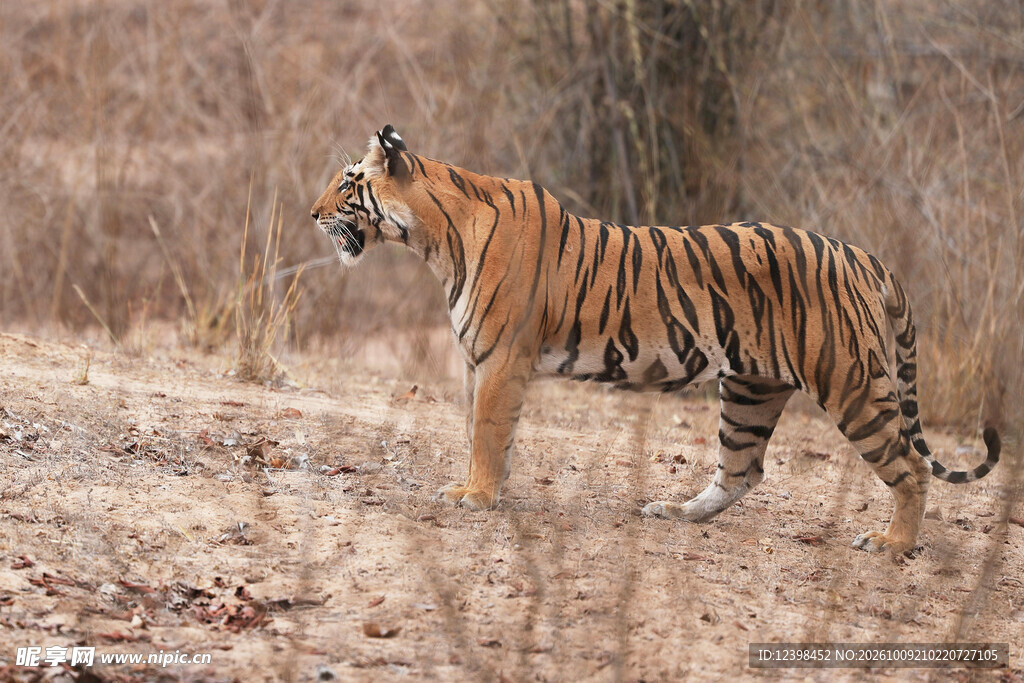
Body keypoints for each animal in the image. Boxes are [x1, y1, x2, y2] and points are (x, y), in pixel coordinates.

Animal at [310, 124, 1000, 553]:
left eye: (347, 184)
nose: (312, 213)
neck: (434, 239)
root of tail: (862, 254)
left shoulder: (502, 360)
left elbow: (485, 432)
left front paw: (475, 497)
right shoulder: (483, 363)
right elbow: (485, 434)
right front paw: (483, 491)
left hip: (851, 383)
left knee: (912, 465)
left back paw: (892, 544)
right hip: (750, 389)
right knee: (742, 471)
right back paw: (674, 513)